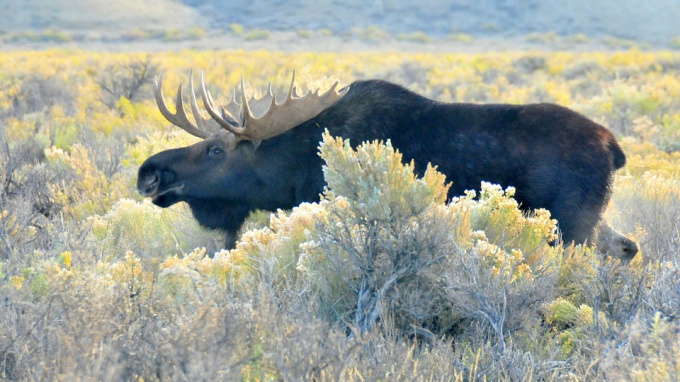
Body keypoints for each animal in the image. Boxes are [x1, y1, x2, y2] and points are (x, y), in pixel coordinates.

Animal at [137, 71, 628, 251]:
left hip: (571, 224)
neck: (291, 169)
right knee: (627, 248)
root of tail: (615, 148)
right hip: (593, 219)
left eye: (217, 150)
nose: (149, 173)